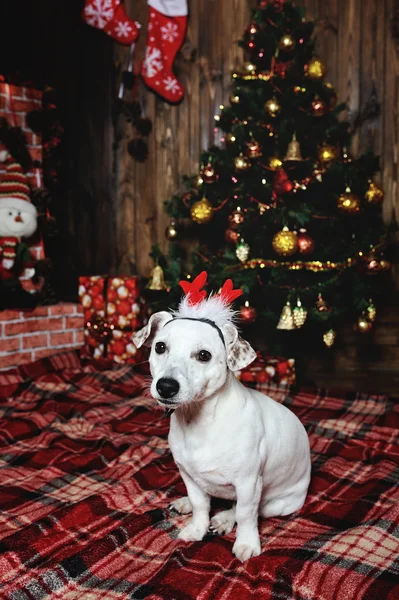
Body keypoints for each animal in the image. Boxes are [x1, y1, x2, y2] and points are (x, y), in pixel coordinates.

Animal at [134, 274, 312, 560]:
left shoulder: (249, 484)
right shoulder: (189, 476)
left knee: (243, 509)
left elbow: (247, 515)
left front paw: (247, 543)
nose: (166, 386)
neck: (200, 421)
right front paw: (196, 528)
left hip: (277, 503)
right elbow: (200, 505)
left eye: (204, 355)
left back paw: (225, 519)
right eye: (160, 347)